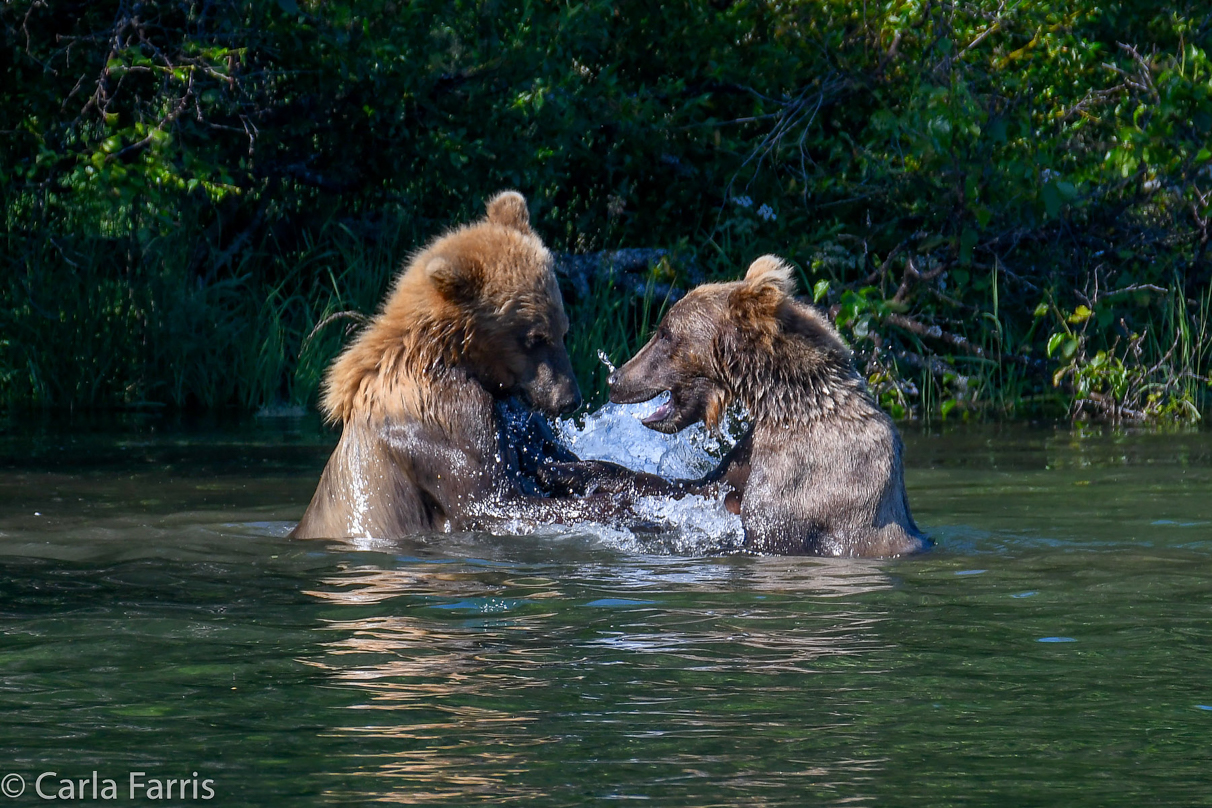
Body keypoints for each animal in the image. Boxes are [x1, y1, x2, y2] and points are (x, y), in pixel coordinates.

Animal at [290, 192, 635, 540]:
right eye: (535, 338)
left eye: (563, 330)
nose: (569, 399)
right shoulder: (442, 418)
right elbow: (491, 500)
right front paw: (620, 506)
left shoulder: (514, 414)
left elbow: (550, 458)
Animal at [535, 255, 921, 559]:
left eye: (665, 333)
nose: (615, 379)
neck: (785, 407)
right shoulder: (747, 455)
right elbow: (692, 488)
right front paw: (563, 469)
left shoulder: (807, 481)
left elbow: (758, 529)